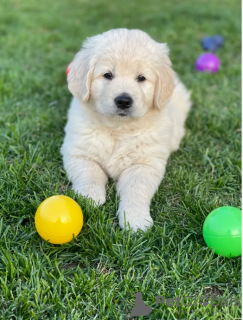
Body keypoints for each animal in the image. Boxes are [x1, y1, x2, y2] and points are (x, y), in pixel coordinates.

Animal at [60, 27, 192, 232]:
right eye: (107, 75)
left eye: (141, 78)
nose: (123, 100)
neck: (117, 128)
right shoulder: (78, 152)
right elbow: (89, 173)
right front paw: (89, 198)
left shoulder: (144, 164)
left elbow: (136, 189)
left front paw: (135, 219)